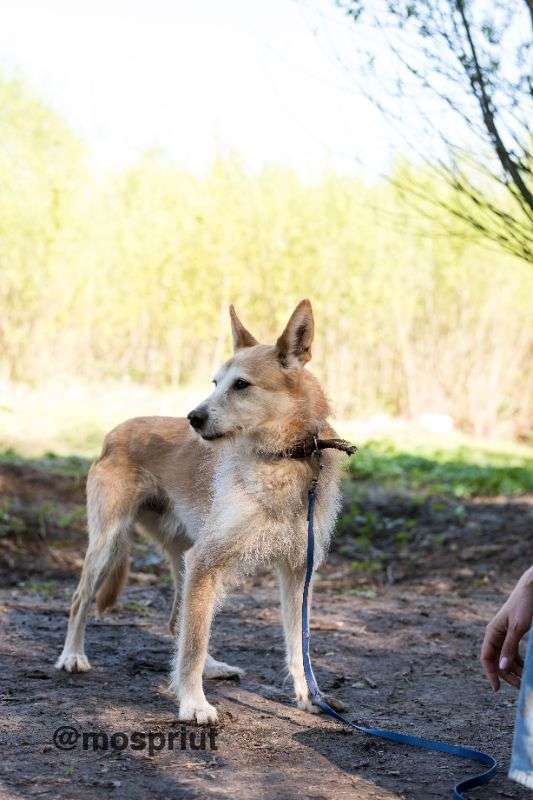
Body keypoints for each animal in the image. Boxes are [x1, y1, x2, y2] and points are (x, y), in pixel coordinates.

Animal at [56, 302, 342, 724]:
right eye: (215, 383)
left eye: (241, 385)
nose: (193, 417)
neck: (282, 460)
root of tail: (114, 431)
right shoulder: (208, 560)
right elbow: (192, 644)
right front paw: (193, 703)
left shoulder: (296, 571)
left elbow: (297, 645)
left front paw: (309, 697)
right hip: (112, 544)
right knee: (81, 600)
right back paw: (72, 656)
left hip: (184, 557)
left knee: (179, 619)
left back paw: (214, 667)